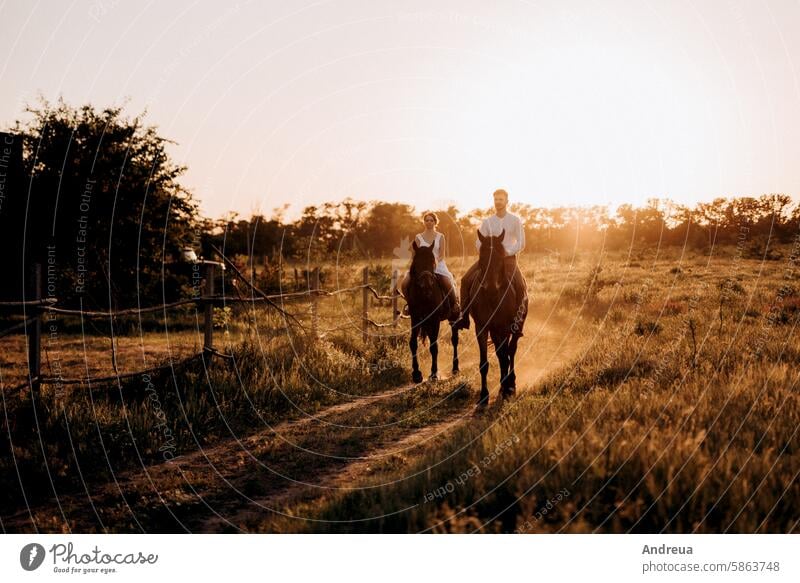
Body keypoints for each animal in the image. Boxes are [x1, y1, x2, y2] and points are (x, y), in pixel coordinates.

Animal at [406, 241, 462, 384]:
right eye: (416, 261)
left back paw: (455, 369)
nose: (426, 285)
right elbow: (413, 343)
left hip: (453, 319)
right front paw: (416, 374)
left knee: (454, 340)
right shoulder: (415, 319)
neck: (424, 295)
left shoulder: (435, 319)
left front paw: (434, 374)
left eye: (432, 261)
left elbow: (434, 346)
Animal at [468, 228, 524, 406]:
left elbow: (505, 357)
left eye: (500, 259)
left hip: (515, 329)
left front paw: (507, 390)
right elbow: (485, 363)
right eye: (482, 258)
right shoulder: (482, 328)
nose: (491, 288)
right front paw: (483, 396)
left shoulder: (504, 328)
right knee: (502, 355)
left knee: (511, 351)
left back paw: (510, 385)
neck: (493, 299)